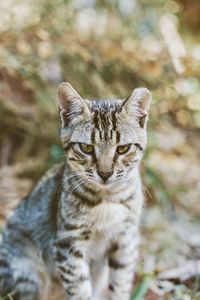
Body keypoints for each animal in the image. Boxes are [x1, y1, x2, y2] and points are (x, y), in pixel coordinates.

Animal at [0, 82, 150, 300]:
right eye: (86, 148)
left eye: (123, 149)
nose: (105, 173)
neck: (107, 198)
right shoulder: (69, 242)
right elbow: (79, 287)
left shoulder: (125, 239)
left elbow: (120, 284)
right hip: (25, 271)